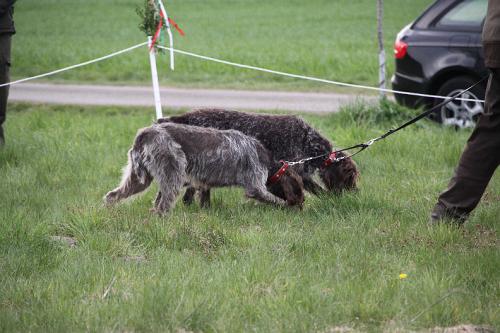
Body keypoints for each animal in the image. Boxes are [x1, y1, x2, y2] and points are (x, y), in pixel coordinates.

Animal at [103, 121, 302, 213]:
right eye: (299, 191)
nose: (302, 206)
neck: (266, 160)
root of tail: (146, 133)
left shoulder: (202, 184)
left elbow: (204, 199)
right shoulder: (255, 187)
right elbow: (275, 200)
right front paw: (287, 207)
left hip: (138, 180)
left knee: (112, 196)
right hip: (173, 175)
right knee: (162, 207)